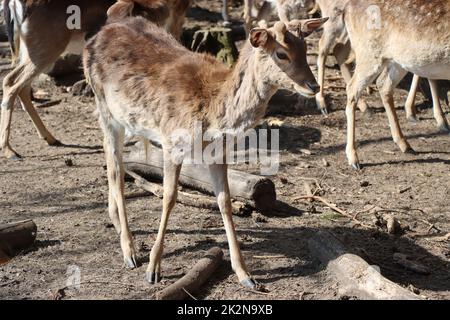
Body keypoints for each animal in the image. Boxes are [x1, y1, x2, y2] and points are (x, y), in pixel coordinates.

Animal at [0, 0, 191, 160]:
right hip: (45, 46)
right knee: (11, 81)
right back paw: (10, 150)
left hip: (29, 48)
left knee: (21, 86)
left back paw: (51, 138)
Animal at [82, 16, 326, 288]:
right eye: (281, 53)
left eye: (305, 48)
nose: (314, 85)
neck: (212, 111)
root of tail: (98, 35)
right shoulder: (171, 140)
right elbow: (169, 197)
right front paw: (153, 269)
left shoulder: (219, 153)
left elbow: (225, 201)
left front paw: (245, 274)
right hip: (103, 104)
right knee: (116, 167)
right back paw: (130, 252)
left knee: (110, 155)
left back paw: (115, 221)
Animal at [342, 0, 450, 170]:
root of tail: (346, 9)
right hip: (368, 52)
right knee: (352, 88)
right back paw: (354, 159)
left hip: (397, 60)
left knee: (383, 84)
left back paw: (405, 145)